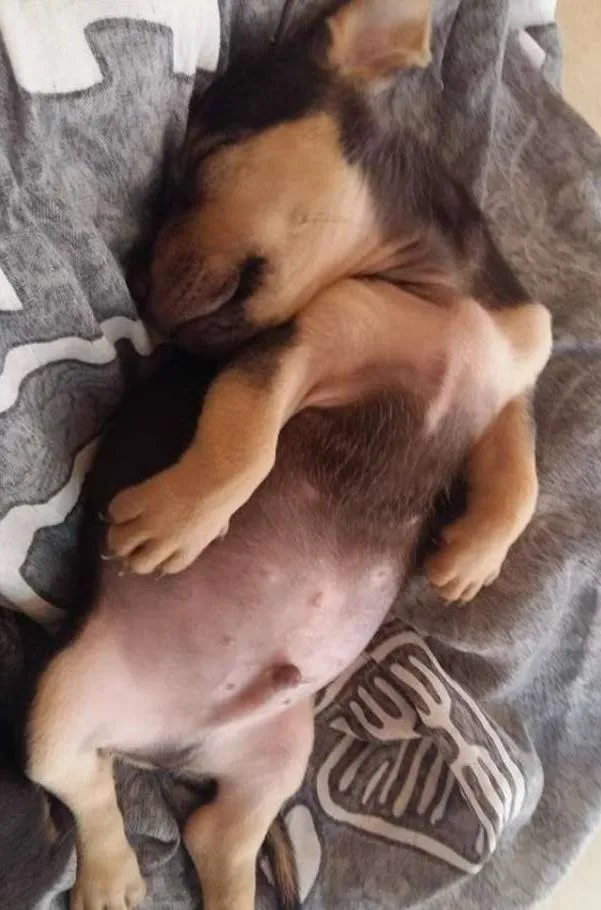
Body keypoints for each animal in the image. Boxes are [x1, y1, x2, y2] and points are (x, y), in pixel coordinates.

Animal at [25, 2, 552, 909]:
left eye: (204, 159)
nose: (137, 283)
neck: (441, 290)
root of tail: (165, 746)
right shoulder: (294, 347)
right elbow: (244, 438)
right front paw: (176, 522)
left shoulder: (506, 389)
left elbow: (519, 474)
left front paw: (469, 560)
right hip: (56, 703)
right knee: (85, 786)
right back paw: (113, 875)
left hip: (280, 751)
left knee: (216, 835)